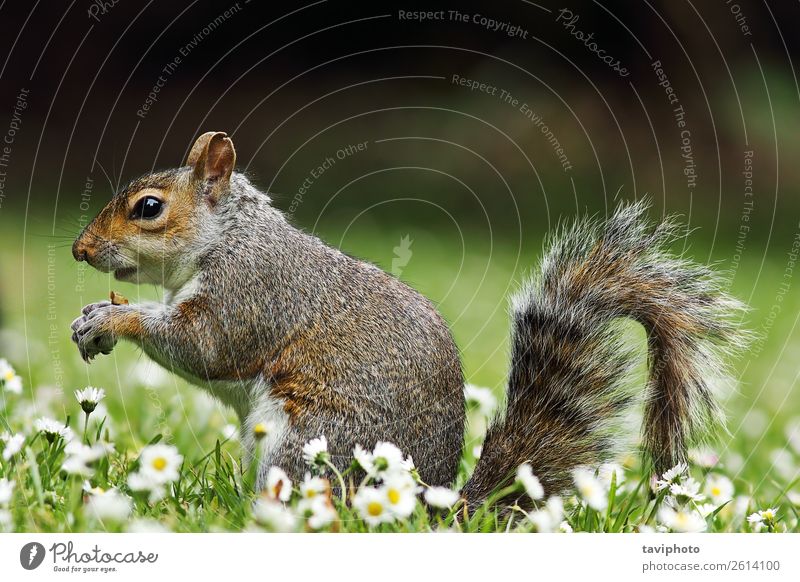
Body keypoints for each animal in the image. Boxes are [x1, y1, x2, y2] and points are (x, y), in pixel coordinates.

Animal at [72, 132, 748, 506]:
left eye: (149, 208)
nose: (80, 250)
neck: (229, 238)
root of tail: (429, 504)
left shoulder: (252, 294)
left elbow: (204, 347)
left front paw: (112, 320)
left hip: (313, 443)